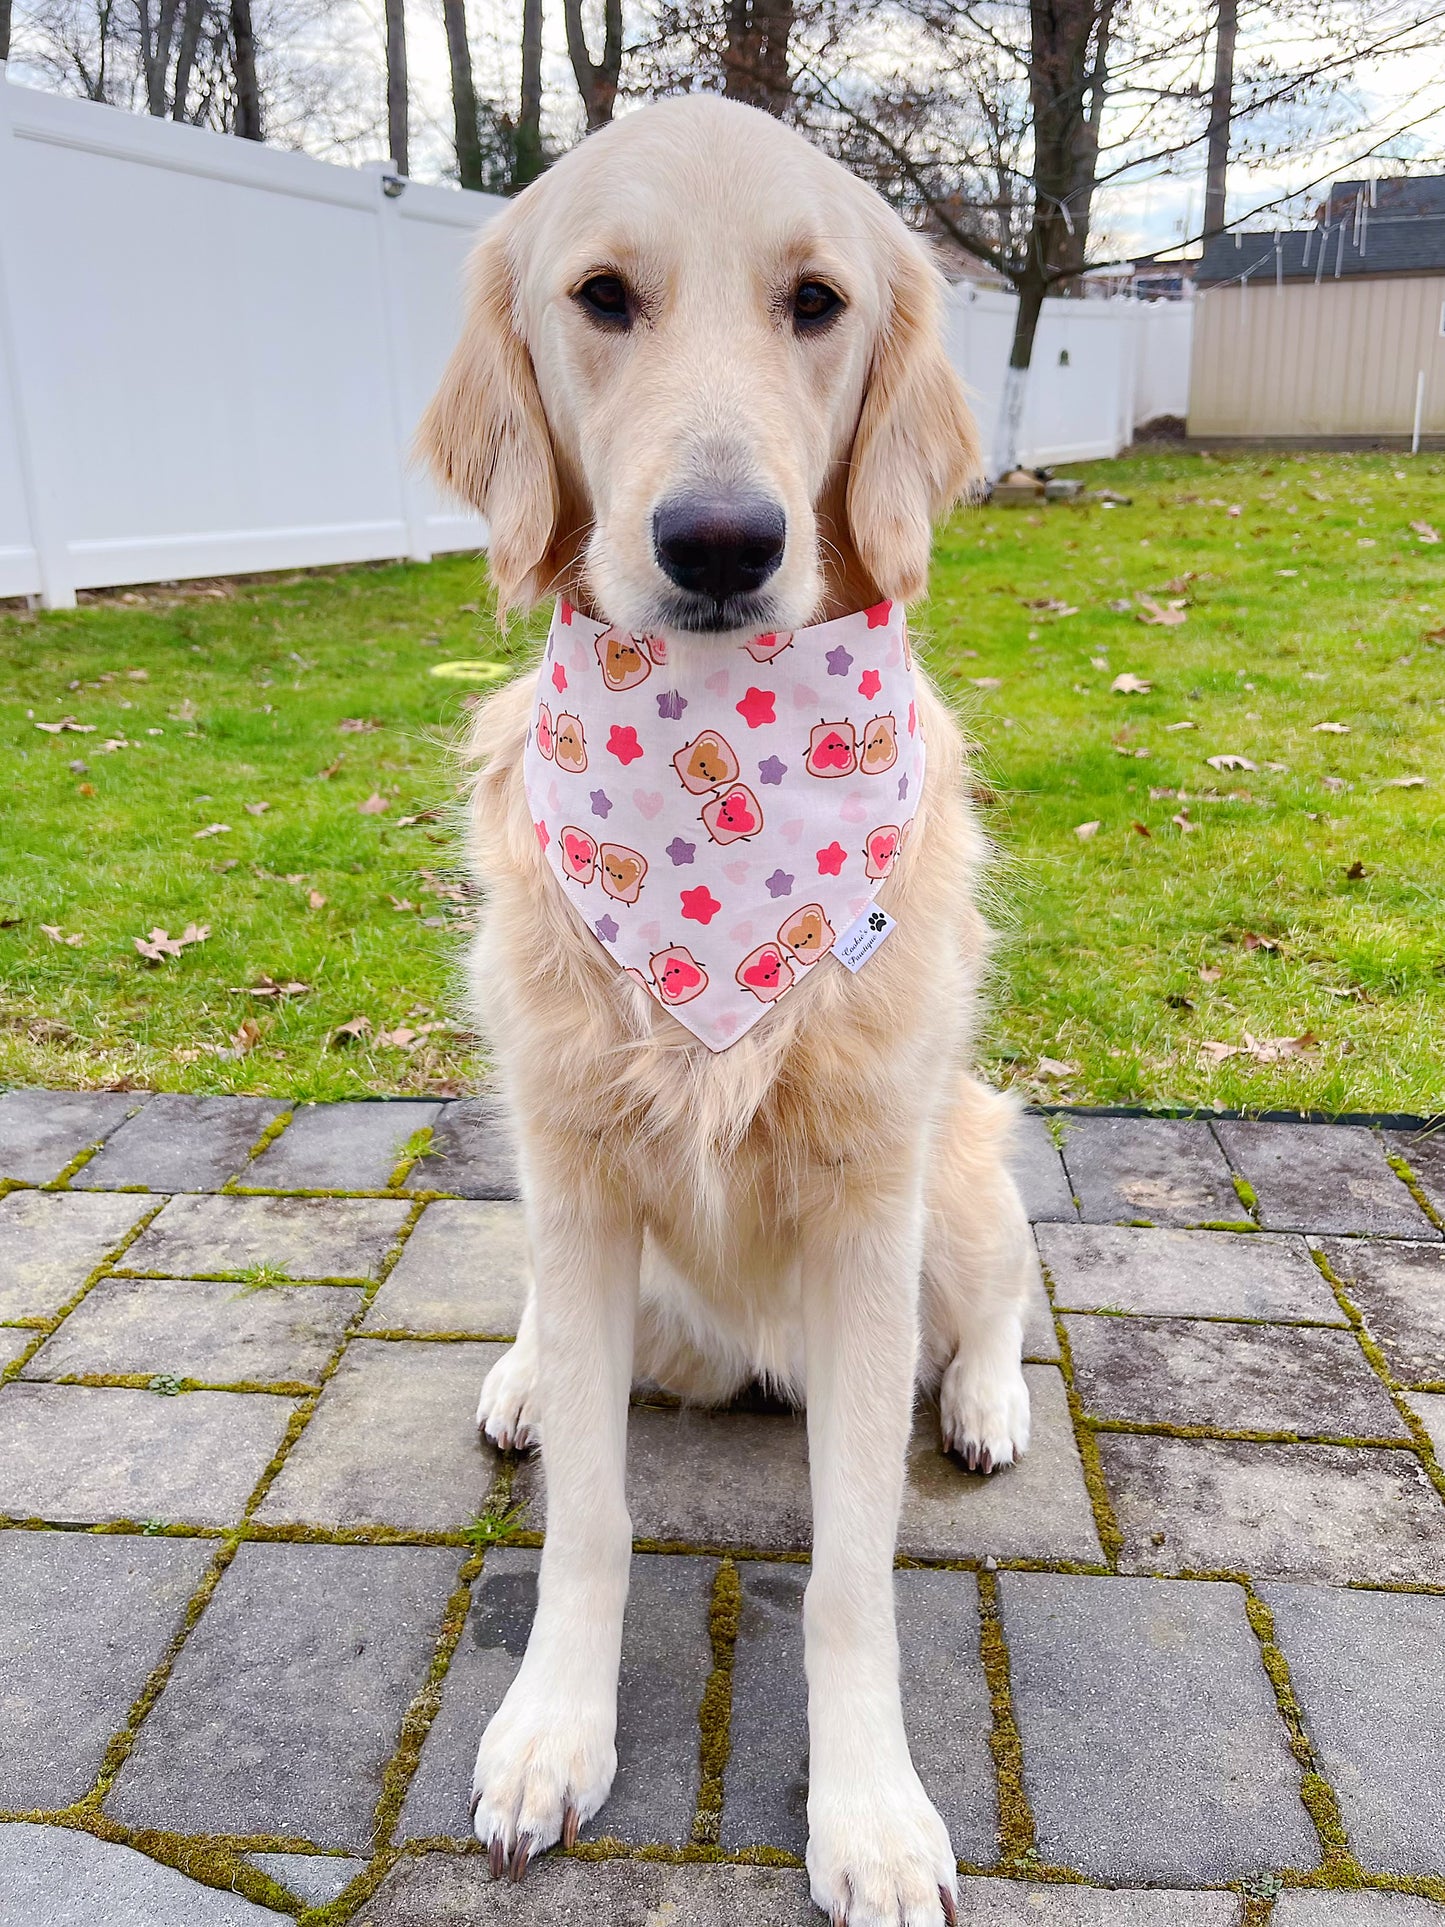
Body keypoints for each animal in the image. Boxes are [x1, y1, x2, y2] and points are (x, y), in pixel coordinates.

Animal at [418, 90, 1040, 1927]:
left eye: (817, 302)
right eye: (602, 296)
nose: (718, 544)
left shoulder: (865, 1210)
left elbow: (847, 1572)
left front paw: (873, 1811)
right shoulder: (572, 1166)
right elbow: (590, 1522)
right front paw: (551, 1731)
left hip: (956, 1178)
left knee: (1009, 1286)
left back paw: (987, 1399)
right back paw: (523, 1373)